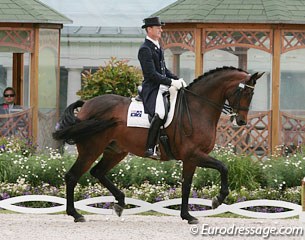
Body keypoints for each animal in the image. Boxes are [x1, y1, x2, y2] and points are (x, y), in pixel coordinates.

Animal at [53, 65, 262, 223]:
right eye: (244, 91)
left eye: (252, 94)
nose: (241, 121)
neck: (198, 108)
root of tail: (87, 105)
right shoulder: (193, 155)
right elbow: (222, 167)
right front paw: (216, 200)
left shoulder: (192, 158)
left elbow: (188, 184)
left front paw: (188, 215)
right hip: (91, 149)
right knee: (72, 176)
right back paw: (76, 214)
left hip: (115, 151)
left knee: (98, 172)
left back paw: (119, 203)